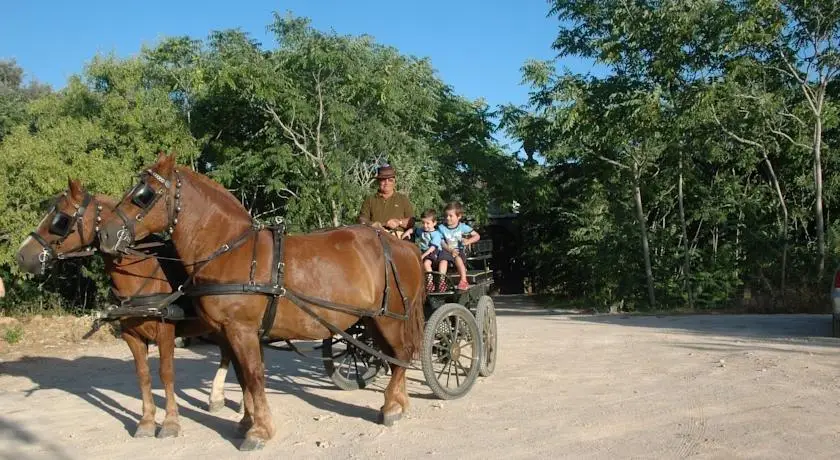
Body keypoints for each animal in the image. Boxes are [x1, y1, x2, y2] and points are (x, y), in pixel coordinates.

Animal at [15, 178, 243, 436]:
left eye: (60, 219)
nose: (21, 256)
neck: (144, 274)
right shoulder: (131, 336)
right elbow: (143, 375)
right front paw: (146, 422)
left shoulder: (165, 332)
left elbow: (166, 373)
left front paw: (170, 422)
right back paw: (217, 398)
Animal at [98, 153, 426, 452]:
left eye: (144, 194)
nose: (107, 233)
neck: (231, 250)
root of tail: (402, 244)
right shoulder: (229, 332)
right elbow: (243, 377)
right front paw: (248, 422)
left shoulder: (241, 330)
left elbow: (254, 377)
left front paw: (259, 431)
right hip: (372, 320)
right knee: (393, 357)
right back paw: (400, 402)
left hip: (389, 317)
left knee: (401, 354)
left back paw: (390, 406)